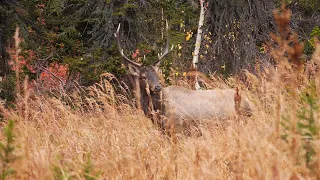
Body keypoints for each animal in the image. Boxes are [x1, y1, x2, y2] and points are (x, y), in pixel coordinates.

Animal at [114, 20, 254, 134]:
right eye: (143, 76)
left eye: (157, 74)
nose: (157, 87)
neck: (158, 110)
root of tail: (250, 105)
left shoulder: (177, 127)